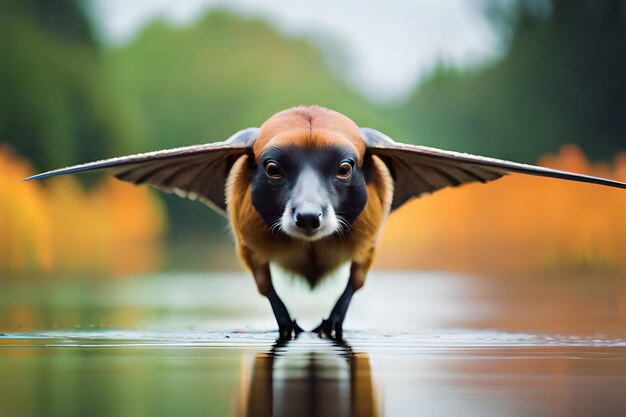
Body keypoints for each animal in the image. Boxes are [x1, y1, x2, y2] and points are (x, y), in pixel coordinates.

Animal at [26, 105, 624, 338]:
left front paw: (327, 325)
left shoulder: (365, 252)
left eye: (345, 167)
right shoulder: (252, 254)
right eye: (271, 168)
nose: (310, 217)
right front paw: (293, 326)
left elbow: (352, 287)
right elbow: (268, 291)